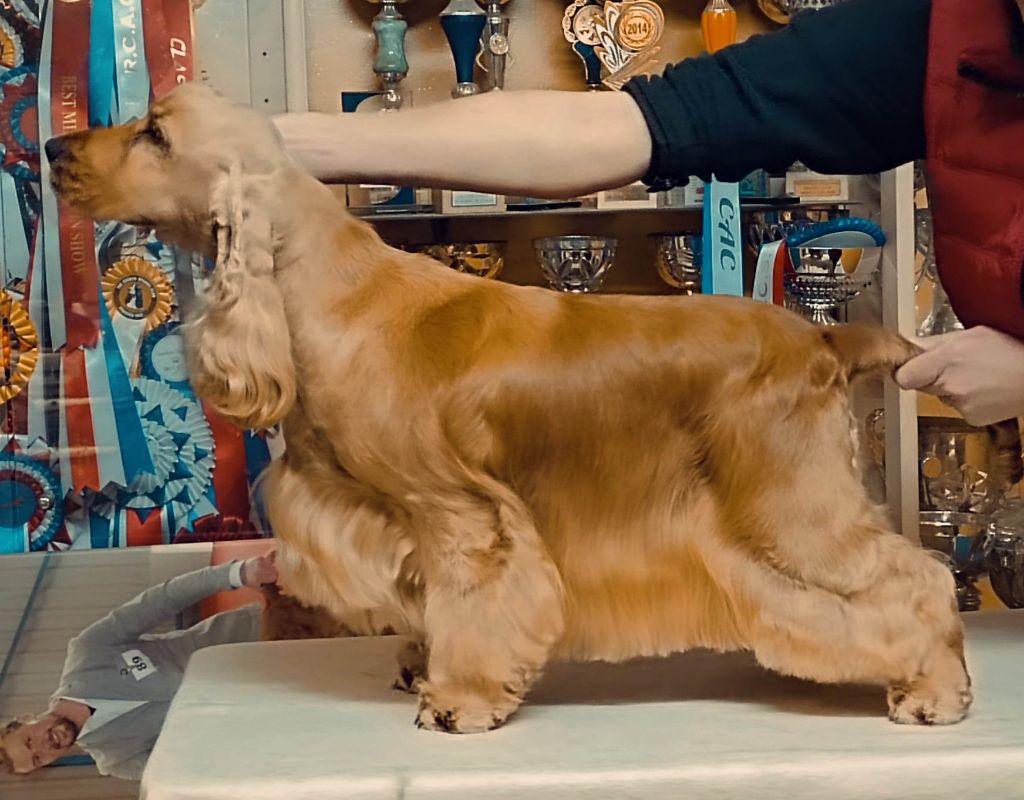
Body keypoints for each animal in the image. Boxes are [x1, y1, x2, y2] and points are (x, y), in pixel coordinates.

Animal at [47, 84, 972, 732]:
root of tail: (823, 339)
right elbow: (427, 600)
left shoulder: (459, 513)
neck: (328, 294)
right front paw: (420, 665)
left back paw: (935, 690)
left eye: (156, 134)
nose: (54, 145)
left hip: (790, 501)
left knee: (915, 576)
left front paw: (458, 699)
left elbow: (474, 602)